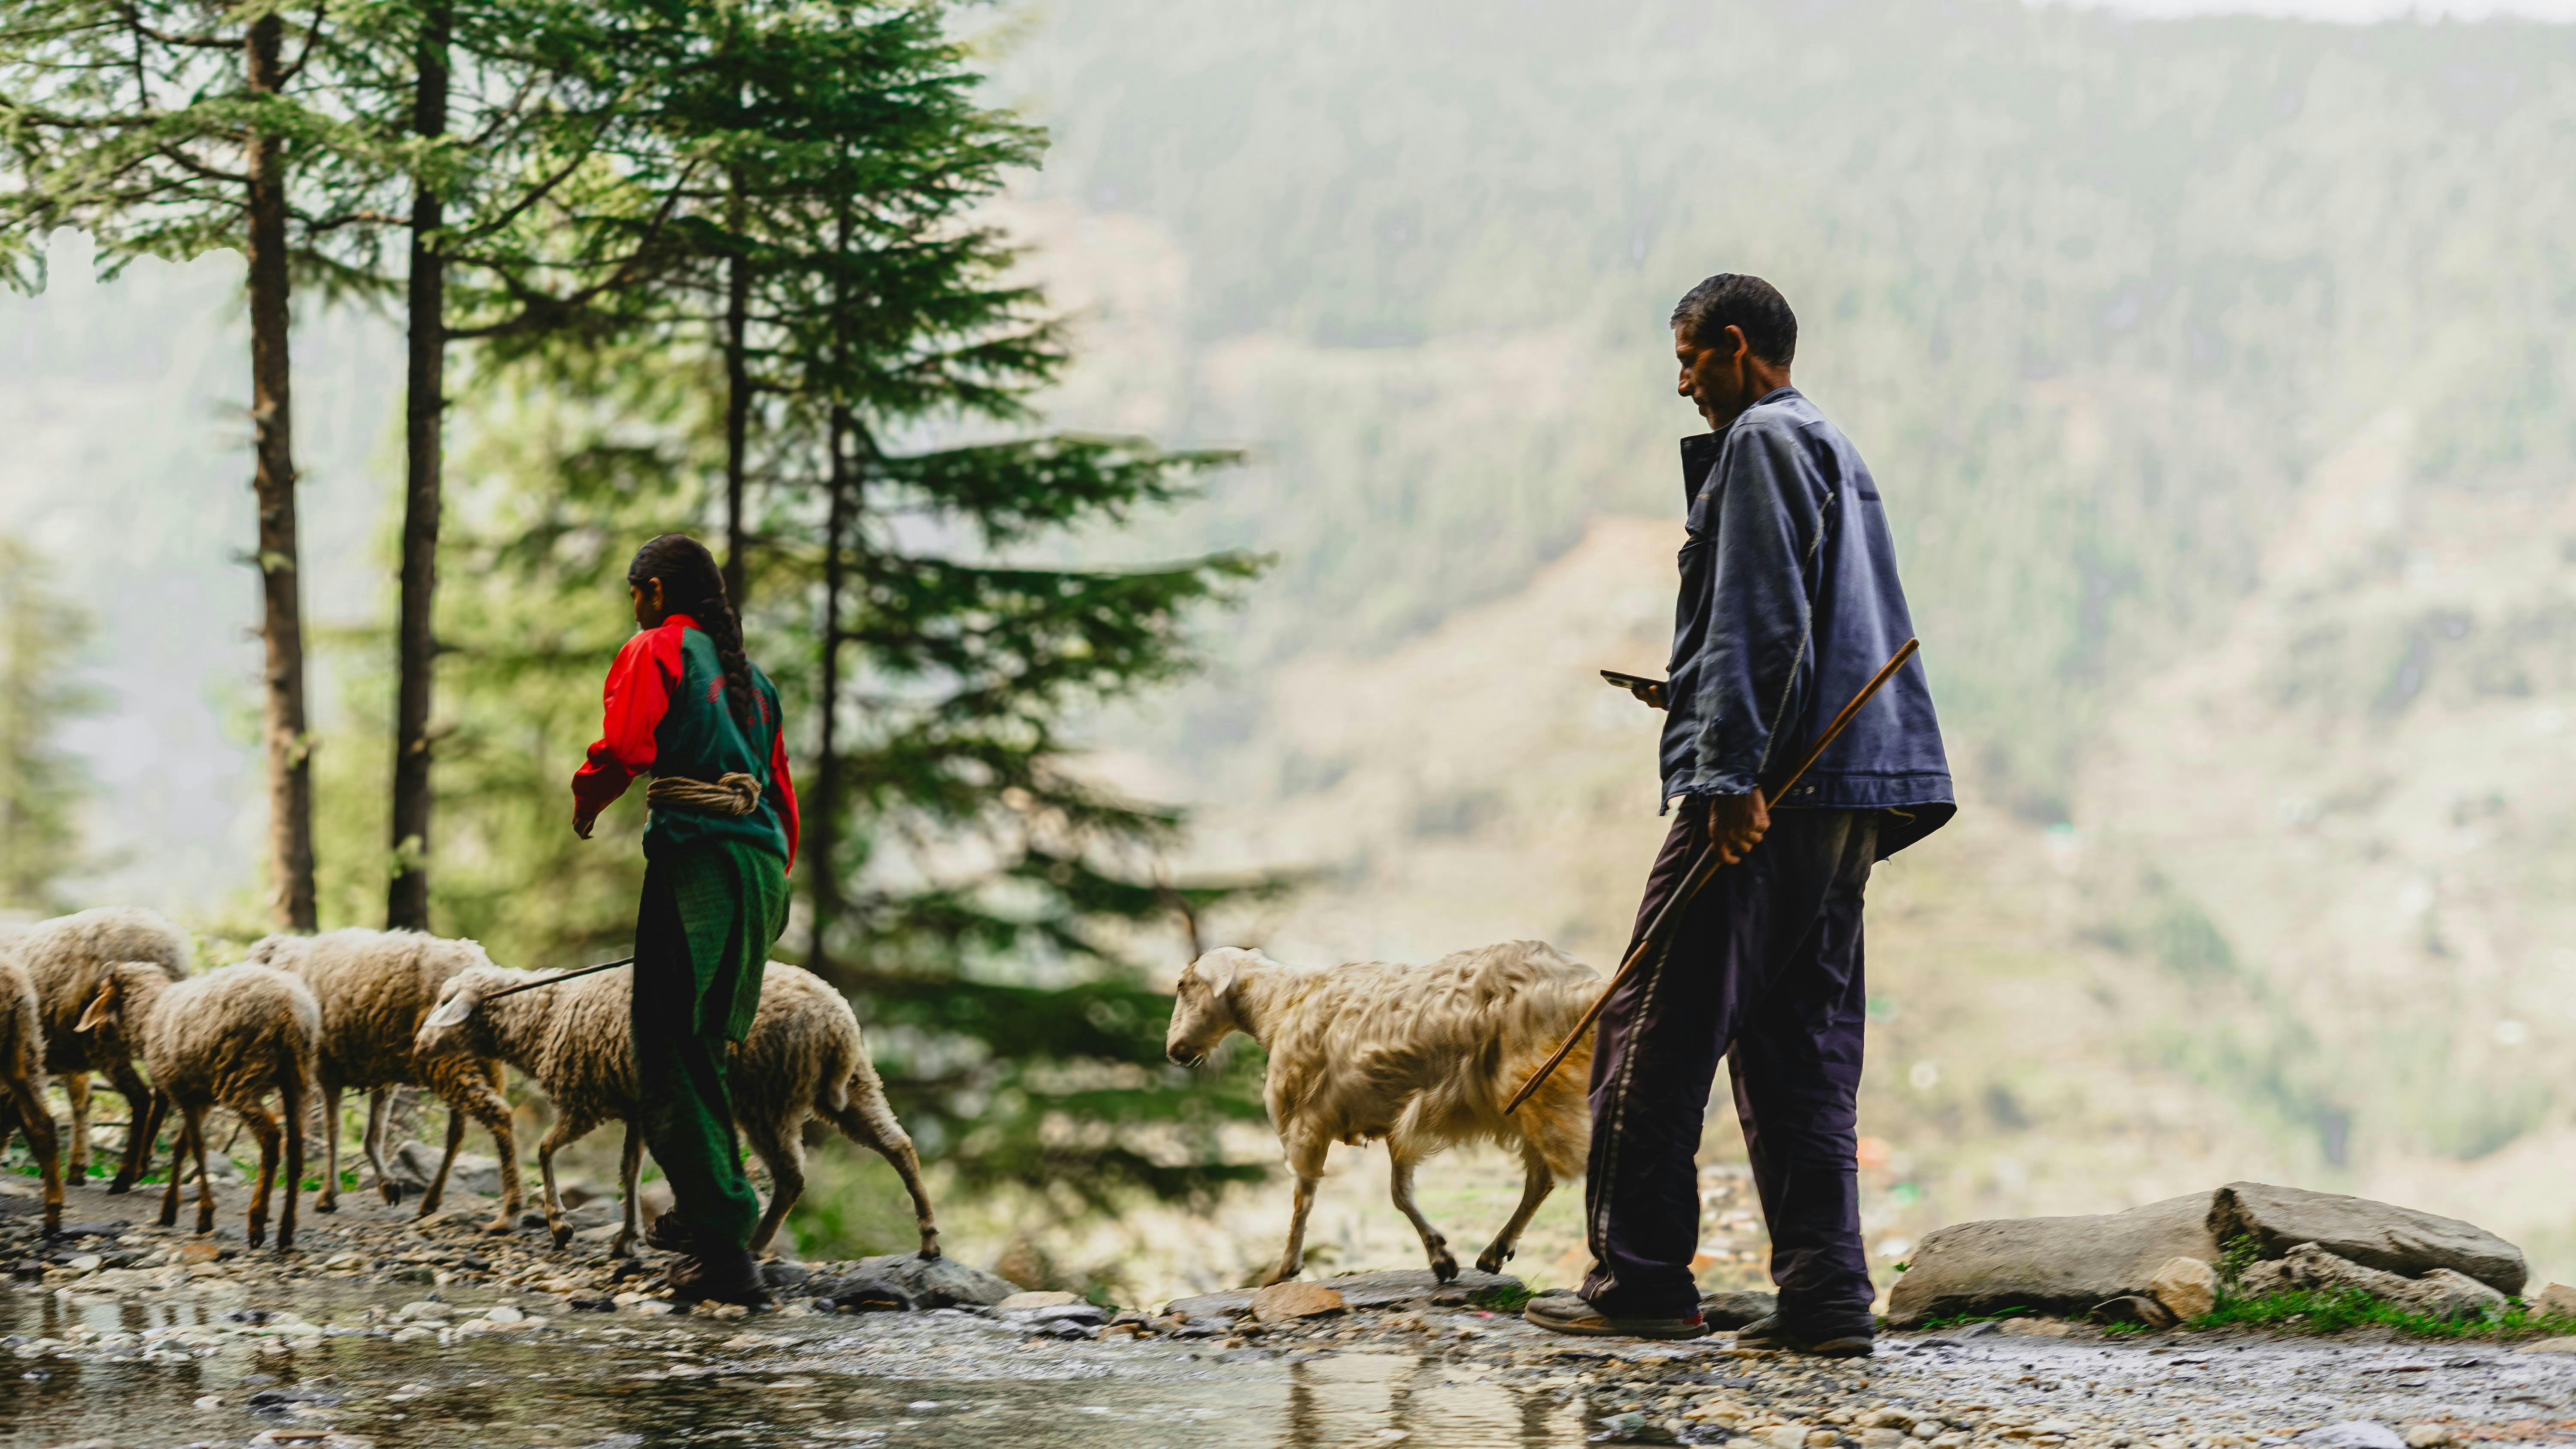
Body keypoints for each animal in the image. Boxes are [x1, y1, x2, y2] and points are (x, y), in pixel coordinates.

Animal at [0, 907, 190, 1188]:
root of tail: (164, 941)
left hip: (105, 1041)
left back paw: (125, 1175)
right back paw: (142, 1163)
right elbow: (80, 1101)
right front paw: (75, 1168)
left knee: (141, 1097)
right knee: (161, 1093)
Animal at [76, 962, 318, 1250]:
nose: (96, 1035)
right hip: (297, 1079)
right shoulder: (202, 1097)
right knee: (296, 1150)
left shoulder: (185, 1093)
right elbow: (182, 1147)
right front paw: (169, 1210)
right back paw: (286, 1232)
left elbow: (199, 1149)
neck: (149, 1013)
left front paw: (204, 1216)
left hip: (241, 1077)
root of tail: (292, 1010)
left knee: (271, 1139)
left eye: (102, 993)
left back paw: (257, 1223)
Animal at [243, 928, 523, 1228]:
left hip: (449, 1059)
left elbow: (334, 1133)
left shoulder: (328, 1069)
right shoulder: (381, 1076)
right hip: (481, 1064)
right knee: (457, 1134)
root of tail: (475, 961)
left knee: (498, 1116)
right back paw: (432, 1200)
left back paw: (510, 1211)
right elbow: (372, 1136)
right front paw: (387, 1185)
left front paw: (329, 1195)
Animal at [413, 959, 938, 1260]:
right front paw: (626, 1239)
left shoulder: (587, 1100)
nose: (417, 1047)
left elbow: (544, 1150)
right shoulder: (633, 1105)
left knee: (791, 1177)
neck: (544, 1014)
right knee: (899, 1146)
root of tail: (836, 1026)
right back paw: (929, 1237)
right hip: (853, 1087)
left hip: (767, 1096)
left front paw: (560, 1224)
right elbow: (628, 1170)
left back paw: (754, 1245)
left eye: (445, 1003)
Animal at [1164, 940, 1600, 1286]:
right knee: (1541, 1179)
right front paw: (1441, 1257)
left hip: (1545, 1084)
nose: (1173, 1051)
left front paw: (1287, 1267)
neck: (1280, 1008)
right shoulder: (1394, 1121)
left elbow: (1303, 1197)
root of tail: (1585, 986)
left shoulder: (1307, 1126)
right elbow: (1401, 1194)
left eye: (1183, 985)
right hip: (1532, 1098)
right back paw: (1496, 1250)